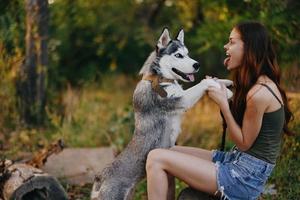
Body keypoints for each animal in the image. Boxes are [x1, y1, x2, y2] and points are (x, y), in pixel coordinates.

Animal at [90, 28, 233, 200]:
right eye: (178, 55)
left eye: (188, 53)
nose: (197, 65)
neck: (160, 78)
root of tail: (100, 178)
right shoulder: (181, 101)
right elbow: (202, 83)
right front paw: (225, 91)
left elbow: (211, 79)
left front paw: (226, 83)